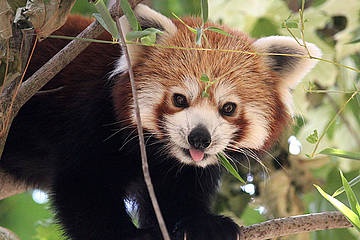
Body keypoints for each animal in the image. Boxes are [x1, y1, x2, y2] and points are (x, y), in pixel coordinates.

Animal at [0, 3, 320, 240]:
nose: (199, 137)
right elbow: (83, 188)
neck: (157, 153)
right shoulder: (90, 118)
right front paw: (132, 236)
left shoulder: (183, 169)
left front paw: (201, 224)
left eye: (228, 108)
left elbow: (175, 197)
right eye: (179, 99)